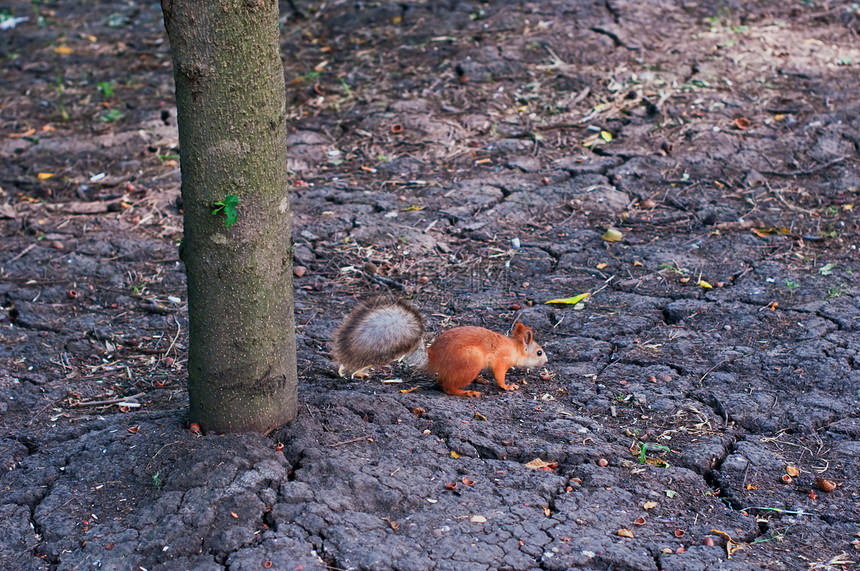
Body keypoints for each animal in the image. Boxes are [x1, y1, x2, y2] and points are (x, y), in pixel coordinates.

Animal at [332, 300, 548, 398]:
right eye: (539, 352)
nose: (546, 361)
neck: (514, 348)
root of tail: (434, 358)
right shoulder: (502, 361)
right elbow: (500, 375)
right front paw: (508, 386)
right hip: (471, 360)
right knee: (447, 387)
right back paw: (466, 392)